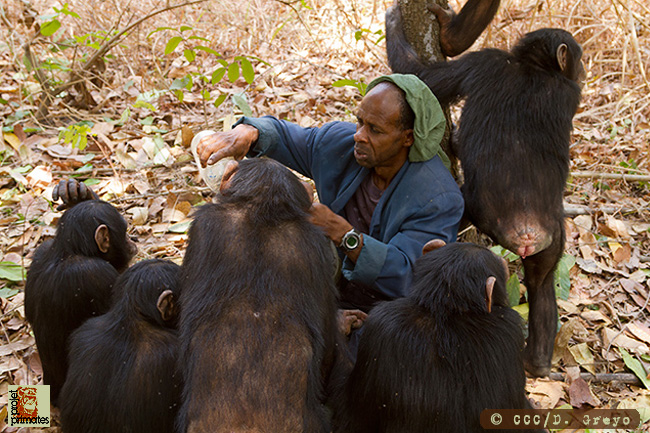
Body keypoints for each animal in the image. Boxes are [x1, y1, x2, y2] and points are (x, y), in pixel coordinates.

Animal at [384, 5, 584, 374]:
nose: (583, 68)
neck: (536, 68)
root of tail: (526, 229)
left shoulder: (482, 61)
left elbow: (424, 75)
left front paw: (393, 19)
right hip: (552, 241)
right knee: (542, 282)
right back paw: (536, 363)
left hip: (475, 210)